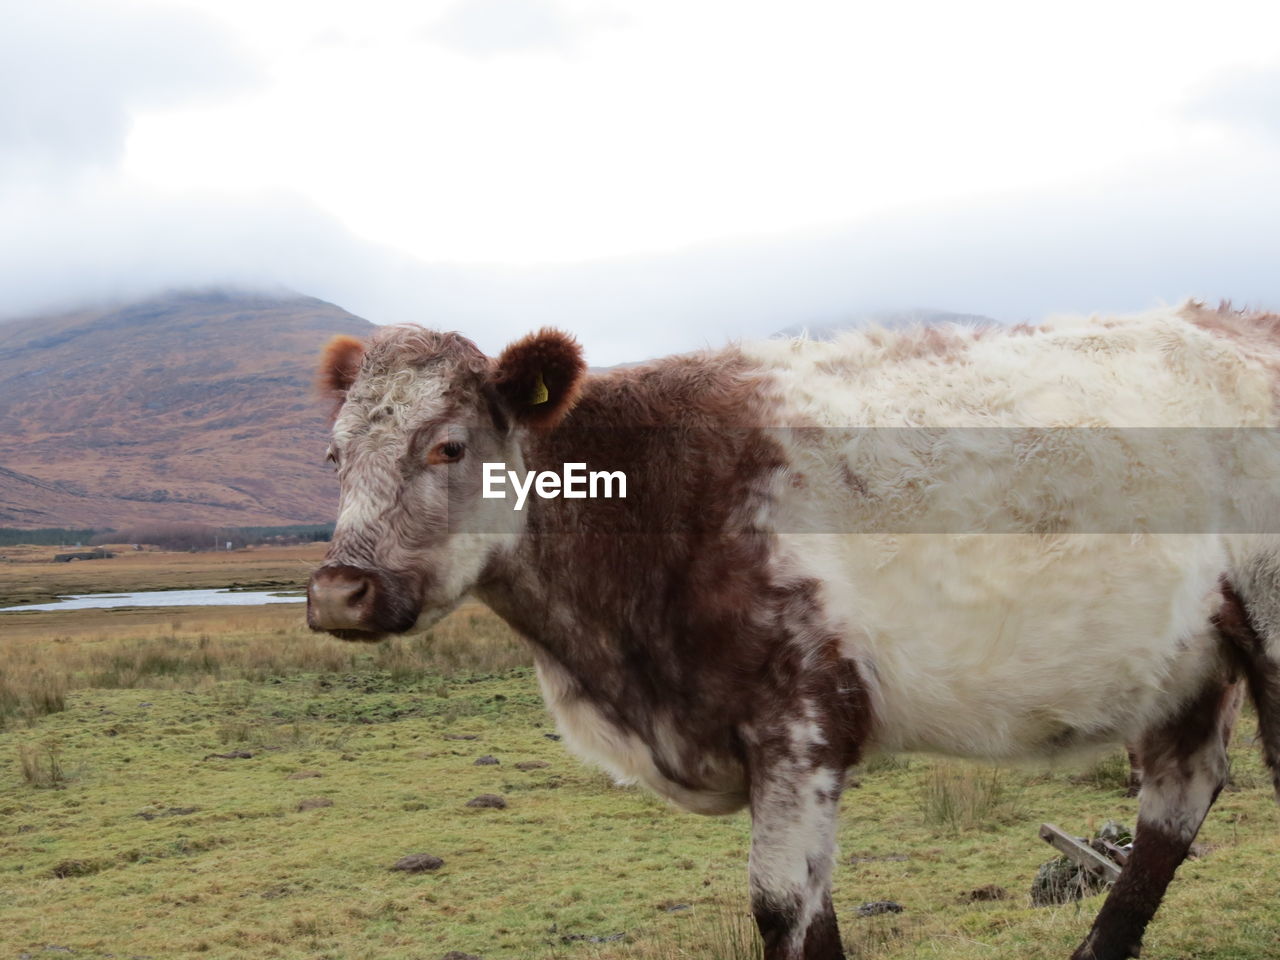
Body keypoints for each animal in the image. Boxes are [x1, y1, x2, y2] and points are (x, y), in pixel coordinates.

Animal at [307, 305, 1280, 960]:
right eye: (333, 454)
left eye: (448, 445)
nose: (337, 591)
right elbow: (814, 913)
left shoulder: (799, 720)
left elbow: (777, 907)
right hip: (1192, 665)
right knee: (1176, 805)